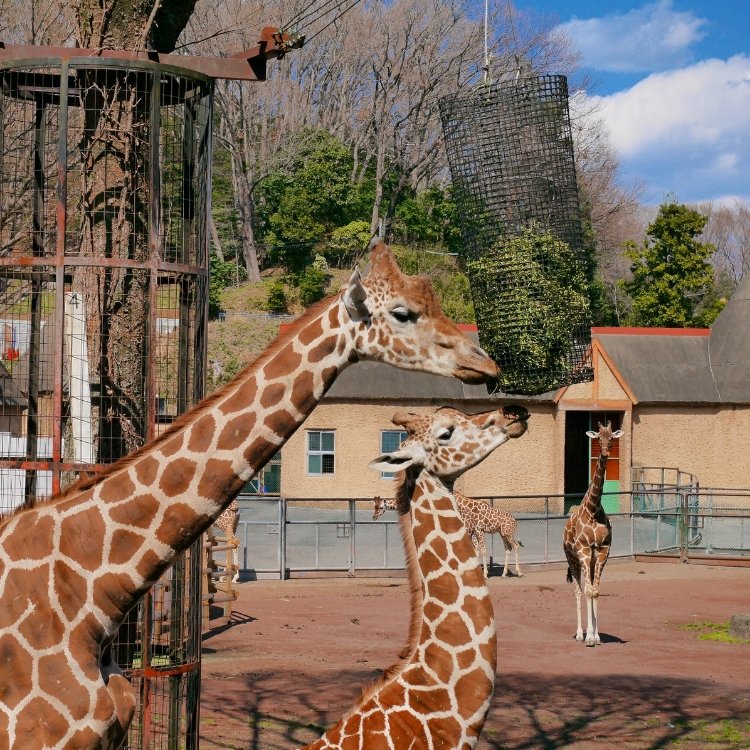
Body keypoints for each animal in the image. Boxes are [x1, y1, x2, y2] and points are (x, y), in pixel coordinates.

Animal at [560, 424, 624, 648]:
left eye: (611, 438)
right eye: (598, 438)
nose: (604, 452)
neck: (593, 510)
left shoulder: (603, 551)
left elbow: (595, 591)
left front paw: (596, 636)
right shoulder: (584, 550)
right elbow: (587, 591)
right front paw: (588, 637)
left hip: (591, 560)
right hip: (573, 558)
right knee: (578, 590)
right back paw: (580, 634)